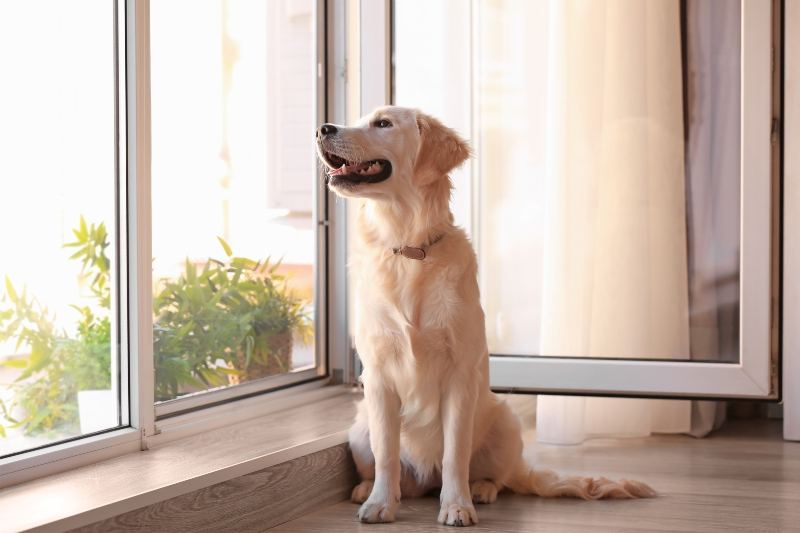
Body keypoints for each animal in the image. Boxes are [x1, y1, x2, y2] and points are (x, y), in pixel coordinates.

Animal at [316, 106, 652, 524]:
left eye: (383, 123)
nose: (322, 129)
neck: (409, 250)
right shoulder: (378, 378)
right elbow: (387, 455)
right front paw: (380, 503)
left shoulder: (460, 375)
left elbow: (455, 453)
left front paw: (457, 505)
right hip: (358, 430)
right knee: (394, 468)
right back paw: (371, 489)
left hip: (505, 422)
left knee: (499, 477)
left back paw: (481, 488)